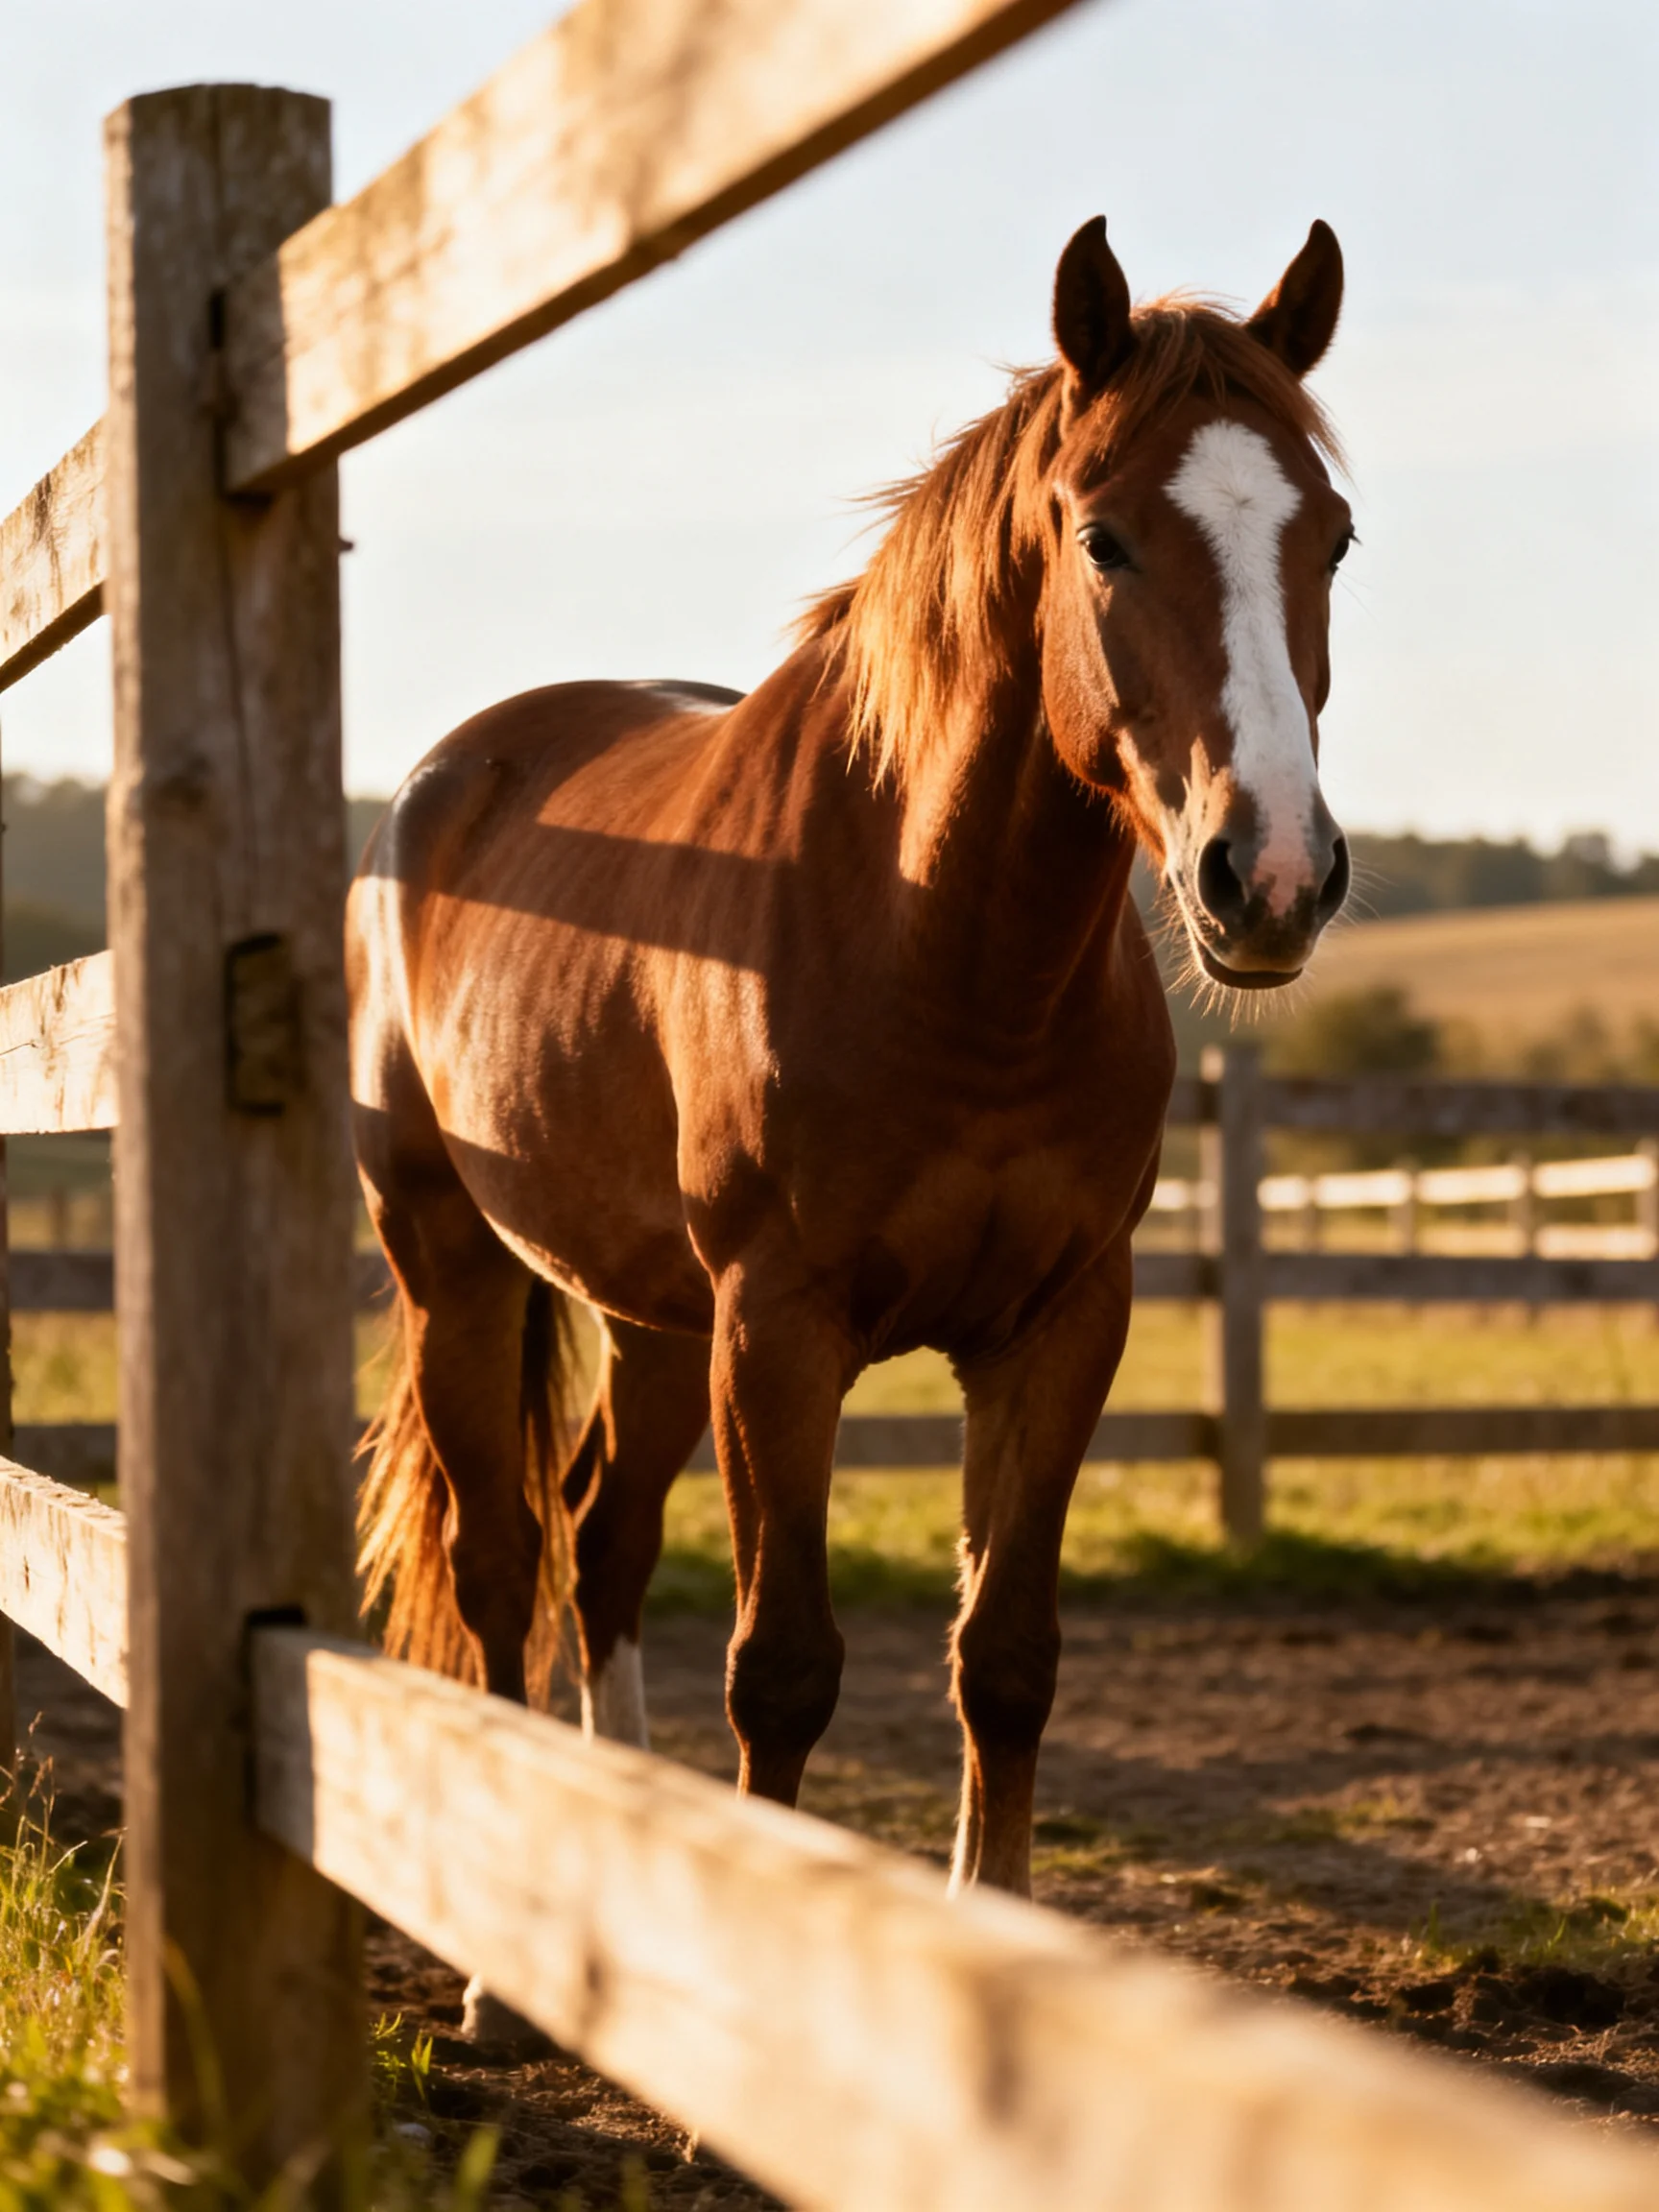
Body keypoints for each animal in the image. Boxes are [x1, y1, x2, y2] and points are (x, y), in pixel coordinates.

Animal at [349, 215, 1354, 1918]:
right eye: (1104, 540)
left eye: (1333, 537)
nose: (1270, 875)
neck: (944, 955)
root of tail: (440, 784)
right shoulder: (784, 1329)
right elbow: (782, 1674)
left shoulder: (1058, 1325)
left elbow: (1004, 1661)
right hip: (460, 1271)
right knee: (501, 1569)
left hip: (657, 1320)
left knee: (600, 1544)